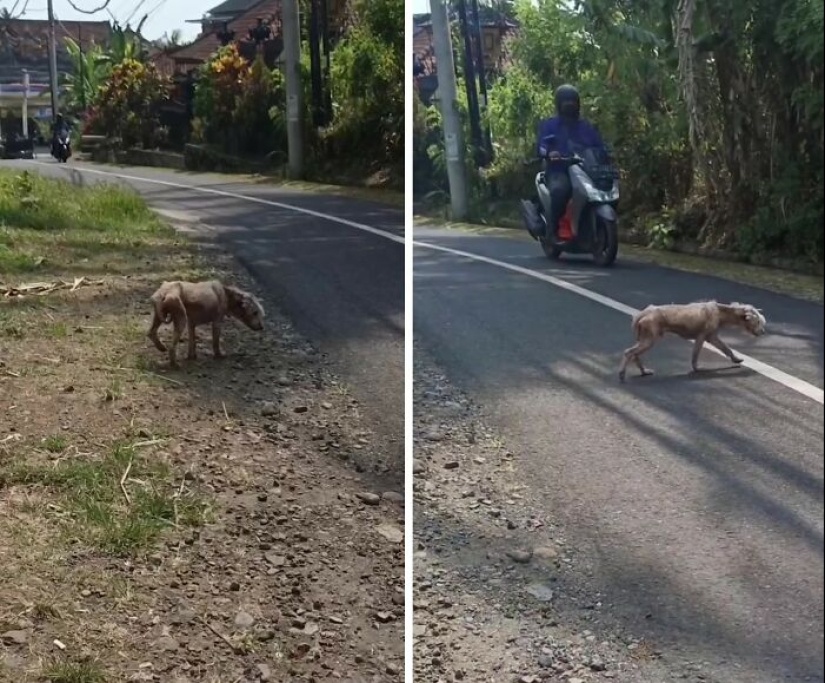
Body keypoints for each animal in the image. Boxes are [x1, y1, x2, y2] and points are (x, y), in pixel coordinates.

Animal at [616, 302, 768, 382]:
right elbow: (695, 354)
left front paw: (736, 359)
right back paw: (622, 373)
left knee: (635, 354)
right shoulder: (702, 336)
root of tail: (642, 313)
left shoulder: (712, 336)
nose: (763, 332)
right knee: (628, 352)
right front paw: (696, 368)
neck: (721, 313)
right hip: (650, 338)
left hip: (646, 338)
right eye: (758, 321)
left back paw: (644, 371)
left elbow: (726, 348)